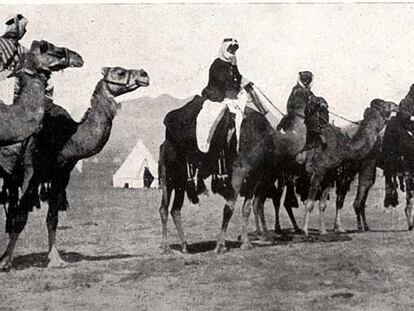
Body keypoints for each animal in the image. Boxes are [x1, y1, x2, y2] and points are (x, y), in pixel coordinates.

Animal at [0, 66, 149, 272]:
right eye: (119, 72)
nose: (144, 74)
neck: (66, 138)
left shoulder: (61, 175)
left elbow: (52, 218)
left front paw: (56, 259)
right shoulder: (31, 173)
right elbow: (21, 217)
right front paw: (6, 261)